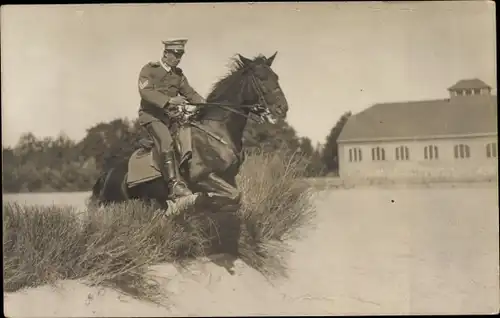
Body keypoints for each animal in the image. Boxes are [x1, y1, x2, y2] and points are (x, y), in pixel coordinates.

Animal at [88, 53, 288, 215]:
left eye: (276, 77)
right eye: (261, 78)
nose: (282, 108)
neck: (217, 131)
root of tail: (106, 174)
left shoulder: (228, 178)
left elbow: (235, 197)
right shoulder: (203, 177)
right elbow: (233, 196)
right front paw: (202, 202)